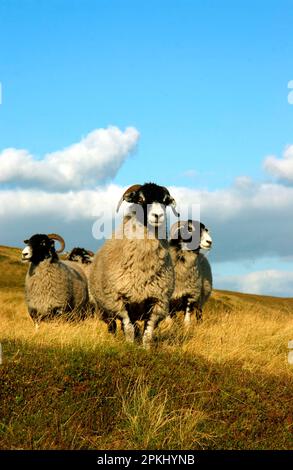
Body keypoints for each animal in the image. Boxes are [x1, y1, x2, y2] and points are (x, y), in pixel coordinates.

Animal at [89, 183, 177, 348]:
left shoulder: (157, 301)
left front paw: (145, 349)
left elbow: (148, 333)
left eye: (165, 201)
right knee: (112, 325)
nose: (158, 216)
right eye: (140, 199)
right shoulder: (118, 300)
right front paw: (129, 347)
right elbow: (128, 328)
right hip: (105, 308)